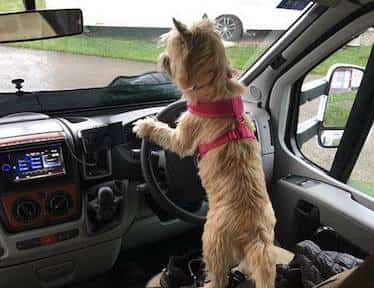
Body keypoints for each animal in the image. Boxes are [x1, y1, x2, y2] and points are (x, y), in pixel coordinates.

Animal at [133, 18, 276, 288]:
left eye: (172, 46)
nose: (162, 58)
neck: (217, 84)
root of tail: (255, 234)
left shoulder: (185, 133)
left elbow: (169, 136)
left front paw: (146, 125)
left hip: (211, 237)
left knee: (219, 275)